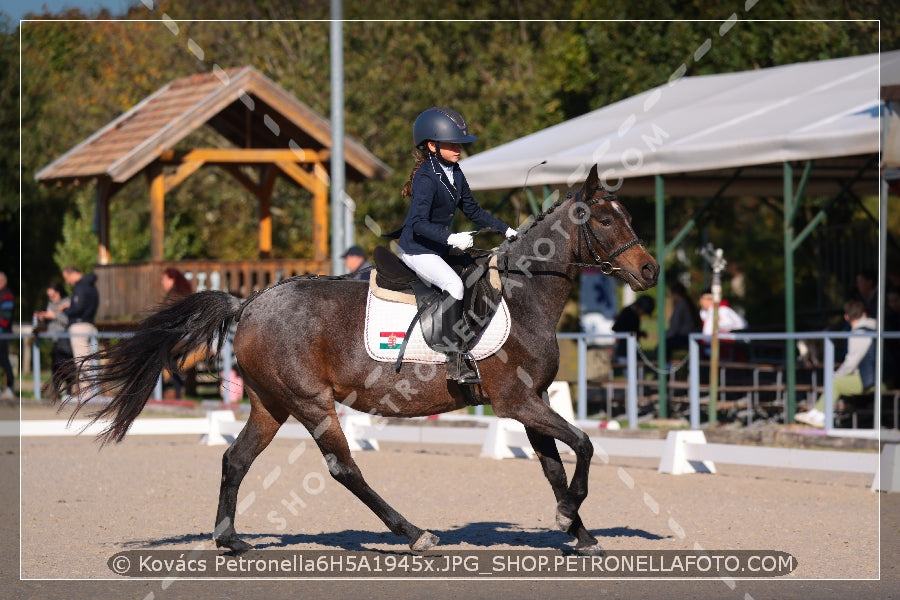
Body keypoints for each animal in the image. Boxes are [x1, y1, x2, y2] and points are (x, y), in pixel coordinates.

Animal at [52, 163, 660, 552]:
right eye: (605, 219)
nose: (650, 270)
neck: (522, 292)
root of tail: (250, 301)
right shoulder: (515, 401)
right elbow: (583, 445)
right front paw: (572, 514)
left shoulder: (529, 402)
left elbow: (556, 463)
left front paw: (578, 530)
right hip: (310, 402)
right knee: (343, 467)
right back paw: (414, 534)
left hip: (271, 403)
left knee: (235, 460)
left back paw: (231, 542)